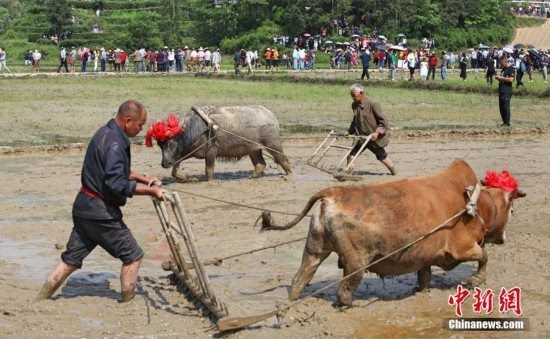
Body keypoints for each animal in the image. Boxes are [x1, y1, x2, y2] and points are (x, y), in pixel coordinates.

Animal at [147, 106, 294, 182]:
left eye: (171, 143)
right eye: (159, 144)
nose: (164, 163)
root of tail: (271, 115)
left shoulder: (211, 152)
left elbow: (209, 170)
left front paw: (208, 180)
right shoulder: (181, 154)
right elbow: (174, 171)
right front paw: (184, 177)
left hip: (273, 143)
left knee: (283, 159)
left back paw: (289, 175)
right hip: (253, 149)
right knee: (260, 163)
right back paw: (252, 176)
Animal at [262, 161, 528, 306]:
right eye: (512, 209)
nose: (503, 238)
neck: (477, 204)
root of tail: (332, 192)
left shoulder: (425, 257)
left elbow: (424, 277)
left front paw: (422, 291)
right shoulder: (462, 248)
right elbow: (484, 257)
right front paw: (475, 280)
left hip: (316, 249)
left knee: (299, 279)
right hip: (356, 261)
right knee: (344, 291)